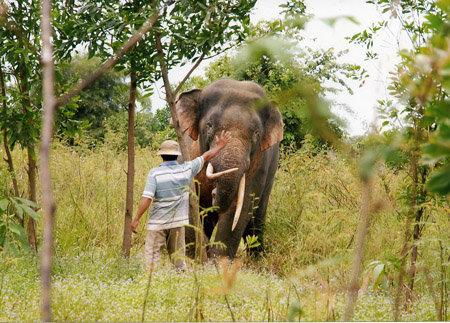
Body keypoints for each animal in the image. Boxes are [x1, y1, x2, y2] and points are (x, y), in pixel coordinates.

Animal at [175, 78, 284, 258]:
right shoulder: (187, 151)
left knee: (257, 218)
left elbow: (241, 205)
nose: (213, 193)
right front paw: (196, 257)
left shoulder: (259, 164)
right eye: (209, 125)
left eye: (256, 133)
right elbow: (188, 197)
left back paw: (257, 258)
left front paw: (218, 261)